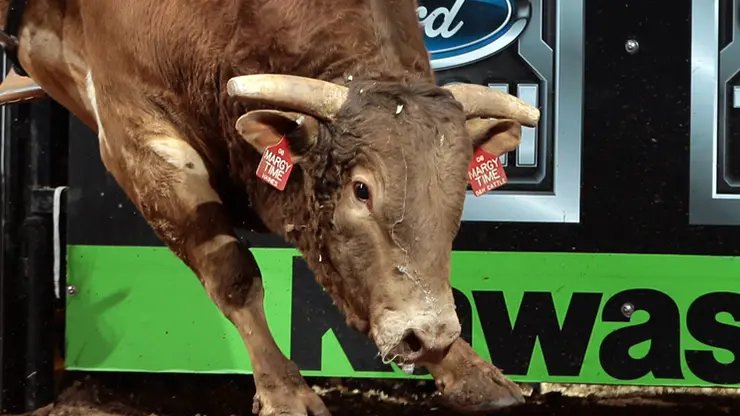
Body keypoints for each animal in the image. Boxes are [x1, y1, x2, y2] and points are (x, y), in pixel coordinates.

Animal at [0, 0, 540, 414]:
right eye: (361, 190)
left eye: (458, 188)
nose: (428, 335)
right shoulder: (137, 140)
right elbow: (234, 274)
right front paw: (284, 391)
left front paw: (467, 367)